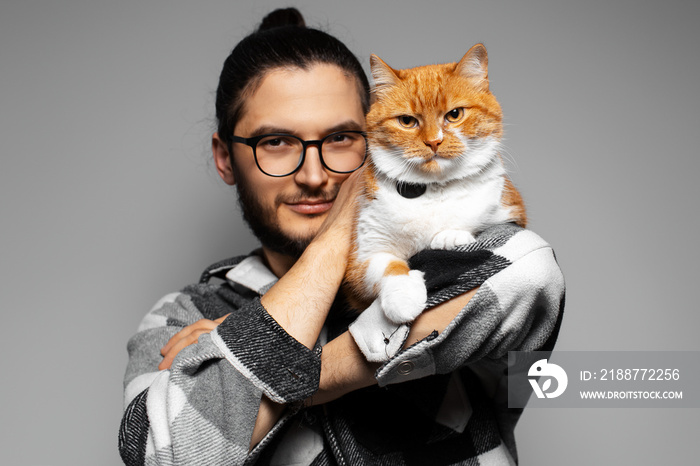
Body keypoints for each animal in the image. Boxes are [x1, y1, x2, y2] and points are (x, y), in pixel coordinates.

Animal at [344, 43, 524, 328]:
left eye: (454, 114)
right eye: (407, 121)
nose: (433, 141)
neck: (433, 189)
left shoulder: (512, 212)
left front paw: (450, 235)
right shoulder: (362, 256)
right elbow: (388, 265)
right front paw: (403, 298)